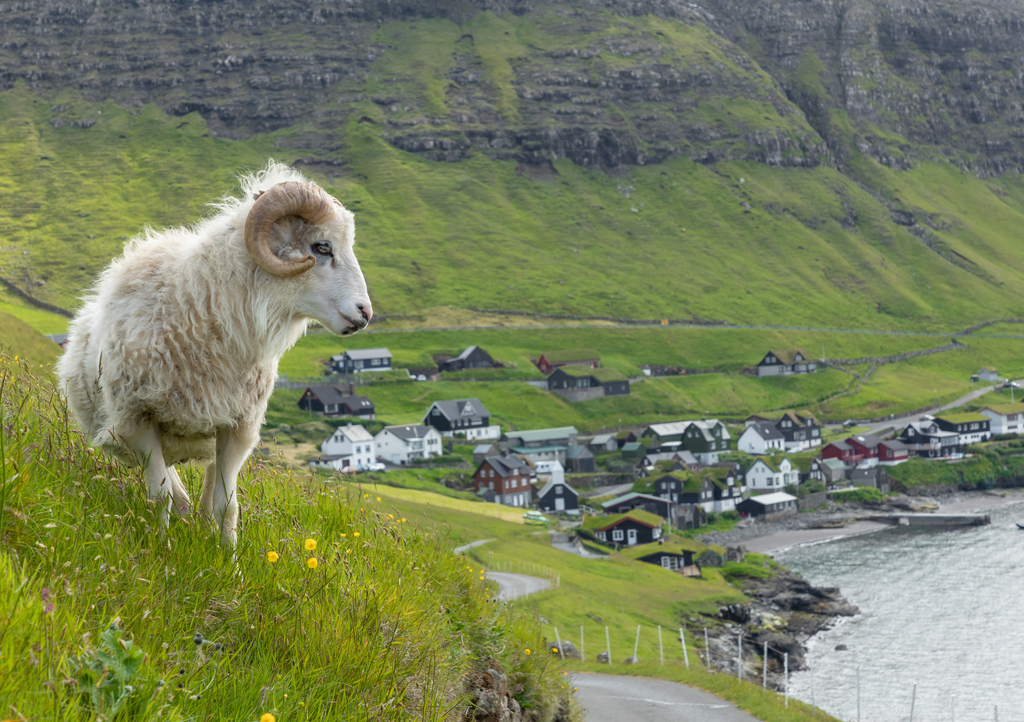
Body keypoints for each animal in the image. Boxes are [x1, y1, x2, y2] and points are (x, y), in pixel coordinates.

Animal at [57, 161, 372, 545]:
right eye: (322, 247)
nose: (365, 313)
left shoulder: (237, 428)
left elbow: (226, 505)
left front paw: (228, 556)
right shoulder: (137, 421)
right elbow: (160, 496)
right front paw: (161, 549)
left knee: (202, 496)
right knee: (175, 492)